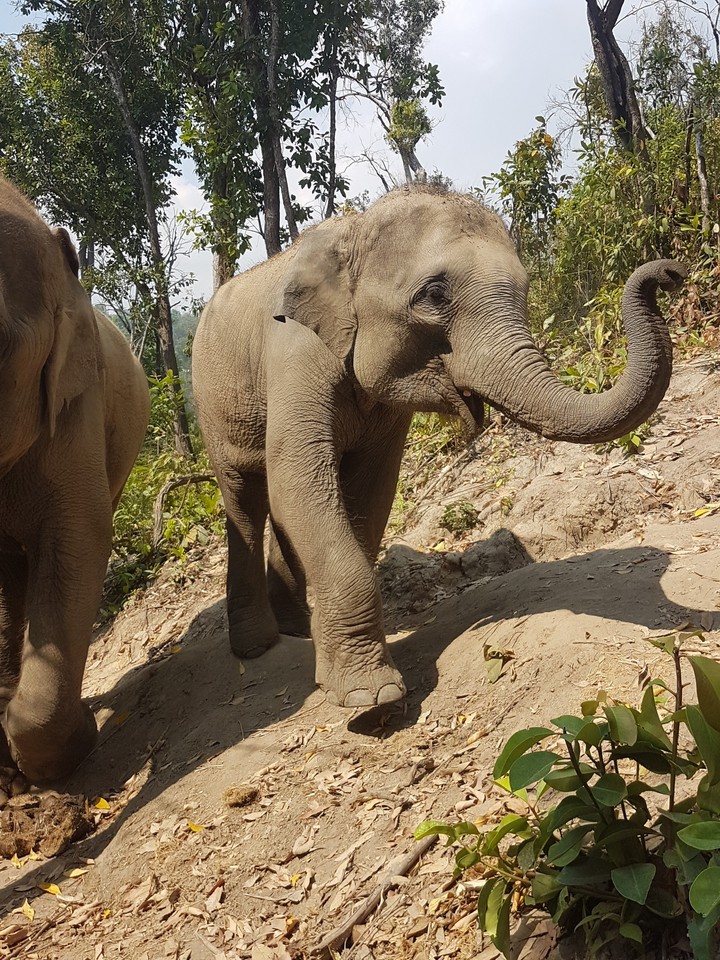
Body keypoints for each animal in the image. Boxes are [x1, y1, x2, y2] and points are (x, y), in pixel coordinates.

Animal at [192, 184, 685, 710]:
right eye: (433, 295)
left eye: (526, 288)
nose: (669, 273)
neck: (355, 229)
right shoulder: (296, 354)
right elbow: (298, 478)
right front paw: (372, 699)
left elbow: (369, 490)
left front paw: (337, 671)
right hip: (212, 406)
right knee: (246, 499)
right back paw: (257, 646)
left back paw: (296, 631)